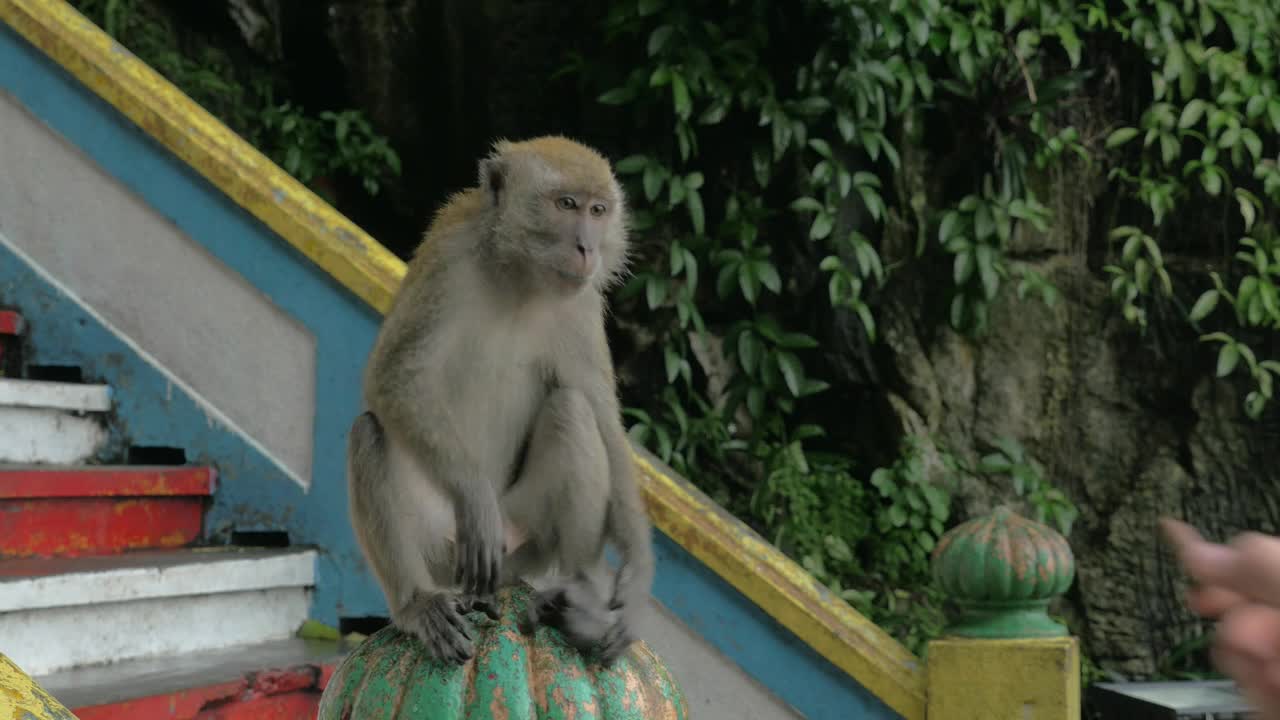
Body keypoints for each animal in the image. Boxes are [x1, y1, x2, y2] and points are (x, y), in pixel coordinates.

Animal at [346, 136, 655, 666]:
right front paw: (474, 495)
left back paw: (577, 594)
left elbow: (601, 418)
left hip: (524, 542)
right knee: (369, 433)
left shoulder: (582, 304)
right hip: (443, 546)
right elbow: (395, 376)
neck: (520, 276)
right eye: (566, 204)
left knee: (571, 411)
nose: (587, 247)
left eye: (598, 210)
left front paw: (636, 577)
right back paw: (418, 605)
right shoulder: (447, 259)